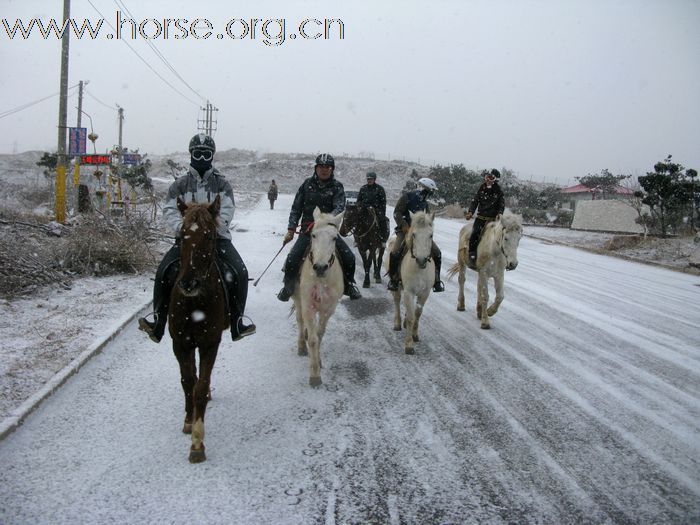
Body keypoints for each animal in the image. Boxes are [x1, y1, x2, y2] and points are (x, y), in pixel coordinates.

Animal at [290, 208, 344, 384]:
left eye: (334, 237)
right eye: (313, 235)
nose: (320, 267)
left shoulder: (328, 308)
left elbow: (319, 335)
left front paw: (319, 362)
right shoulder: (308, 305)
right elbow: (313, 340)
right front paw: (314, 376)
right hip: (298, 299)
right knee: (300, 322)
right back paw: (302, 346)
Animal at [386, 211, 434, 354]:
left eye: (431, 235)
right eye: (414, 234)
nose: (421, 260)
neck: (419, 269)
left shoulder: (425, 292)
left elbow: (417, 313)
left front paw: (415, 335)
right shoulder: (408, 292)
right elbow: (412, 317)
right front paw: (409, 345)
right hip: (396, 286)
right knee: (397, 301)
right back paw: (398, 323)